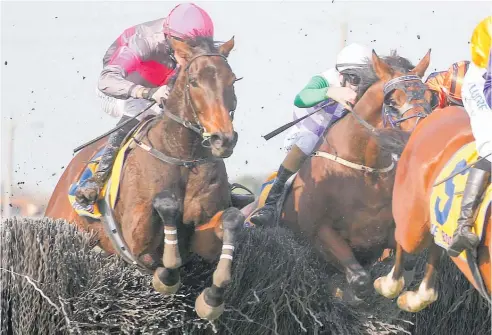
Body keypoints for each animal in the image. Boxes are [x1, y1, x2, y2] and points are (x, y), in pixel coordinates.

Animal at [44, 35, 246, 322]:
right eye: (194, 81)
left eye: (232, 80)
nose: (223, 139)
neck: (182, 155)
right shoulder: (136, 239)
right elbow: (166, 213)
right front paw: (167, 275)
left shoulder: (203, 235)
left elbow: (230, 220)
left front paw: (211, 299)